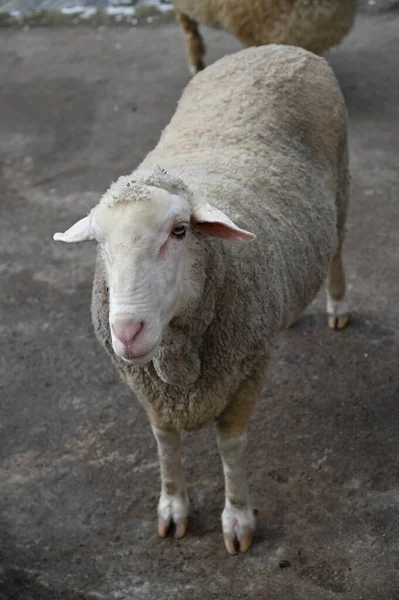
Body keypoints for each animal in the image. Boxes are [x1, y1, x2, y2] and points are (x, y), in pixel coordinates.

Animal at [53, 44, 350, 556]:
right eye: (99, 243)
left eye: (179, 231)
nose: (127, 331)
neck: (177, 356)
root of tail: (274, 48)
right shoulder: (151, 390)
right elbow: (165, 442)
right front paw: (173, 507)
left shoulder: (246, 370)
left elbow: (230, 447)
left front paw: (238, 519)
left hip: (342, 183)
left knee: (337, 250)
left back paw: (337, 306)